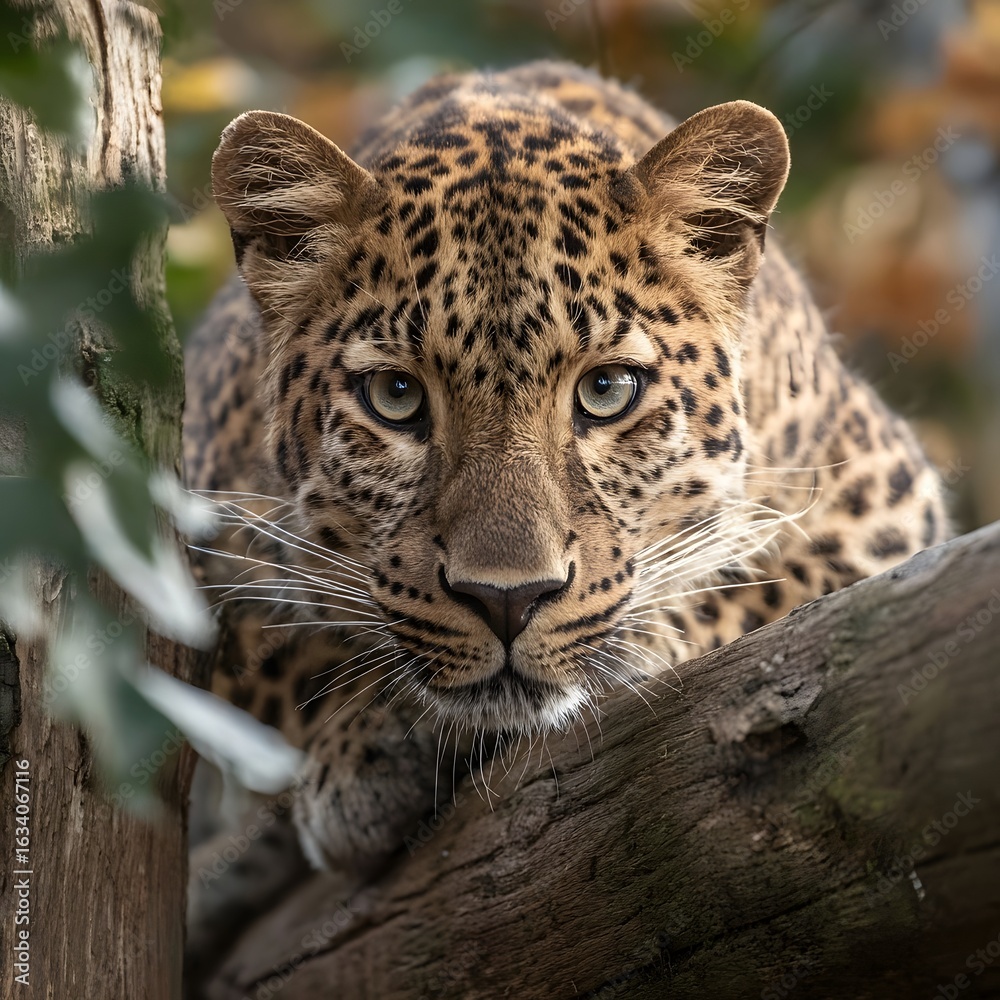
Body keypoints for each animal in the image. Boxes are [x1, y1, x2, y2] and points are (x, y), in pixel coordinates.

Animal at [182, 60, 949, 914]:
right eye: (395, 396)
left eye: (607, 390)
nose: (506, 600)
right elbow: (283, 661)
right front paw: (368, 740)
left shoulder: (881, 494)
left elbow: (774, 585)